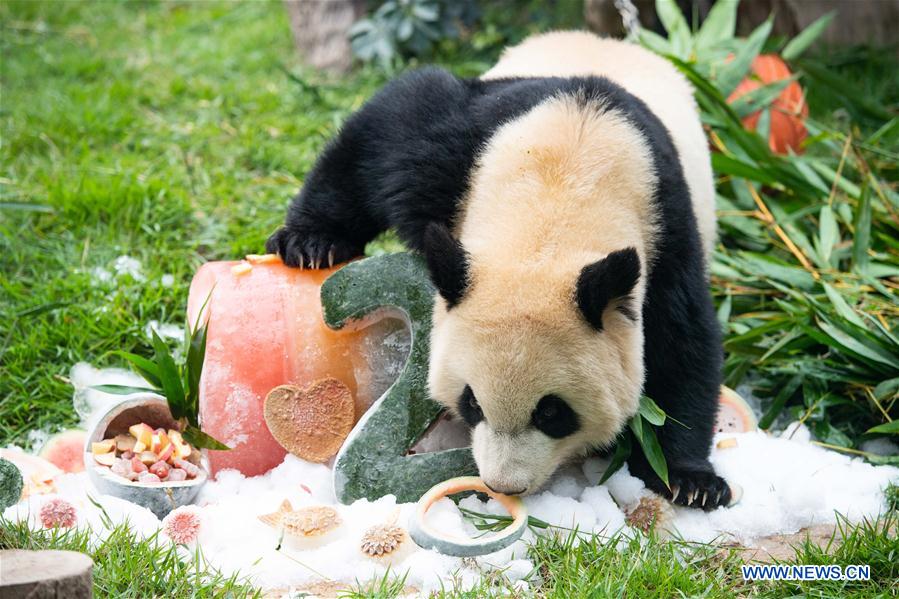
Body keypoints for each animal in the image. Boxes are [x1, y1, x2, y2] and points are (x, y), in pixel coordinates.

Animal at [268, 31, 732, 510]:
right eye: (471, 402)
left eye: (552, 412)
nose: (504, 486)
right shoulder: (458, 153)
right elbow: (388, 128)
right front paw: (310, 241)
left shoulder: (665, 225)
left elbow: (682, 341)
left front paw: (689, 481)